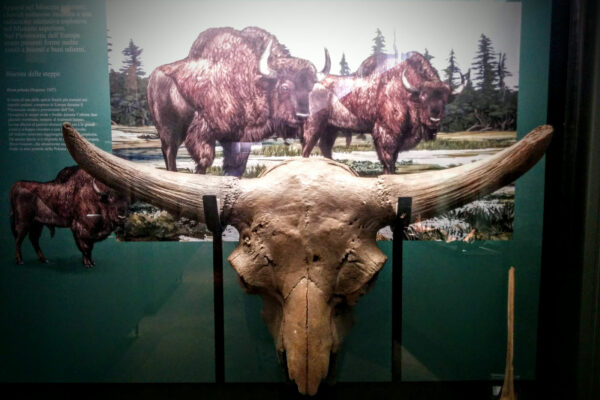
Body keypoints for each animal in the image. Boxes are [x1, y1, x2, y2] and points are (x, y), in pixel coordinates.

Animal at [148, 25, 330, 174]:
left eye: (310, 88)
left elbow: (235, 165)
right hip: (169, 132)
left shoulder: (237, 137)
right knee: (170, 153)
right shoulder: (204, 132)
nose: (302, 116)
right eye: (284, 87)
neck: (252, 80)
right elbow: (205, 160)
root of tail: (153, 76)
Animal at [304, 51, 464, 172]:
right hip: (314, 126)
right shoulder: (386, 135)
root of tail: (313, 85)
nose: (434, 119)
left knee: (325, 148)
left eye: (445, 99)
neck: (406, 92)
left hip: (331, 129)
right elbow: (388, 163)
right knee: (307, 149)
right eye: (423, 97)